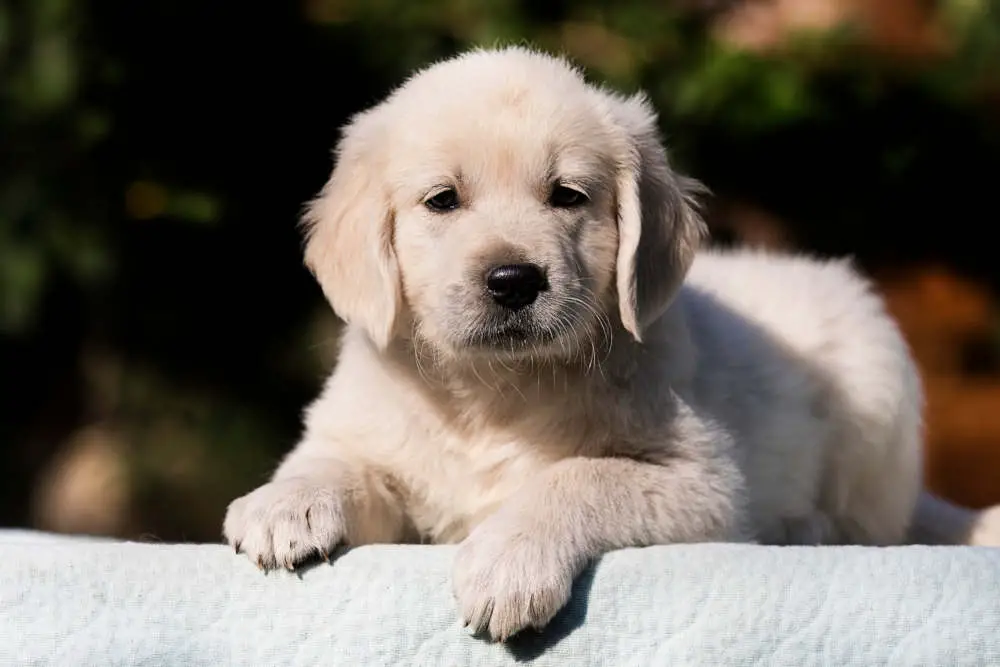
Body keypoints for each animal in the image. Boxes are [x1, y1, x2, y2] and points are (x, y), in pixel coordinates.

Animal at [227, 45, 1000, 640]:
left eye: (567, 195)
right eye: (442, 200)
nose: (513, 280)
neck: (496, 390)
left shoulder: (703, 481)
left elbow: (577, 475)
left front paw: (507, 562)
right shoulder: (367, 432)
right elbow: (334, 461)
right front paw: (283, 504)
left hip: (877, 387)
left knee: (879, 523)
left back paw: (809, 527)